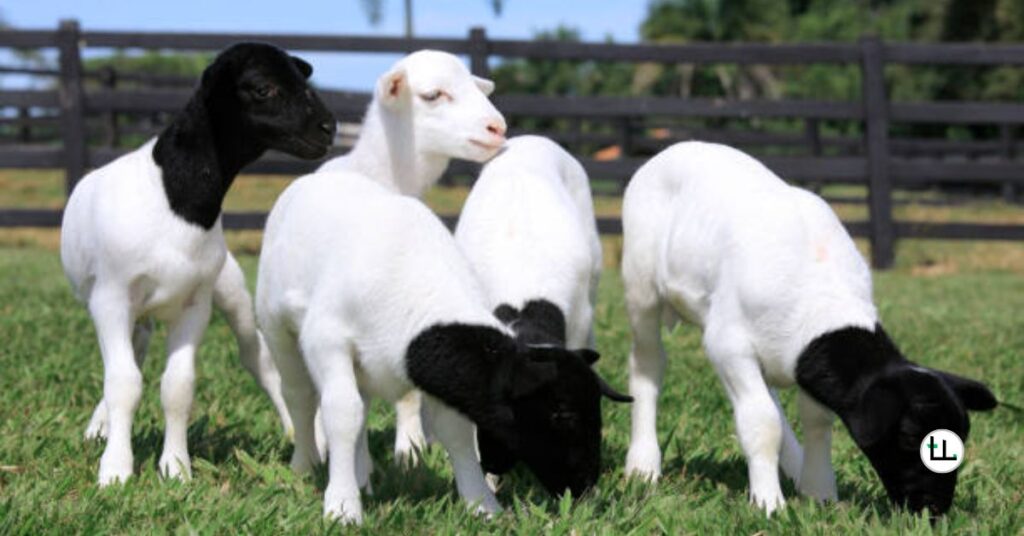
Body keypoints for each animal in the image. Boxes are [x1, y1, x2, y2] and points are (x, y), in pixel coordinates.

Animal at [60, 42, 336, 485]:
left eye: (301, 79)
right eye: (263, 88)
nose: (328, 127)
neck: (177, 196)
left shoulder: (195, 304)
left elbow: (178, 388)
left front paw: (175, 468)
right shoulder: (111, 298)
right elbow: (123, 382)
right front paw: (116, 470)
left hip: (230, 288)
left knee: (257, 357)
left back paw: (302, 435)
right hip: (126, 307)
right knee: (132, 356)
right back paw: (100, 428)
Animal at [255, 171, 630, 523]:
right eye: (562, 413)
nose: (584, 488)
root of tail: (319, 176)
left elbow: (455, 430)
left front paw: (482, 505)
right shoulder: (327, 341)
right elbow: (343, 414)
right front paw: (343, 507)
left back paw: (363, 474)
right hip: (277, 327)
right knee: (300, 397)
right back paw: (306, 463)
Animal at [619, 141, 996, 516]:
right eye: (908, 436)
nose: (933, 510)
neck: (822, 297)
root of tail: (676, 148)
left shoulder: (806, 363)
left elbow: (815, 421)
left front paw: (819, 493)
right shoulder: (728, 344)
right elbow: (762, 422)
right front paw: (769, 503)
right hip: (641, 284)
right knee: (648, 363)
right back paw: (643, 466)